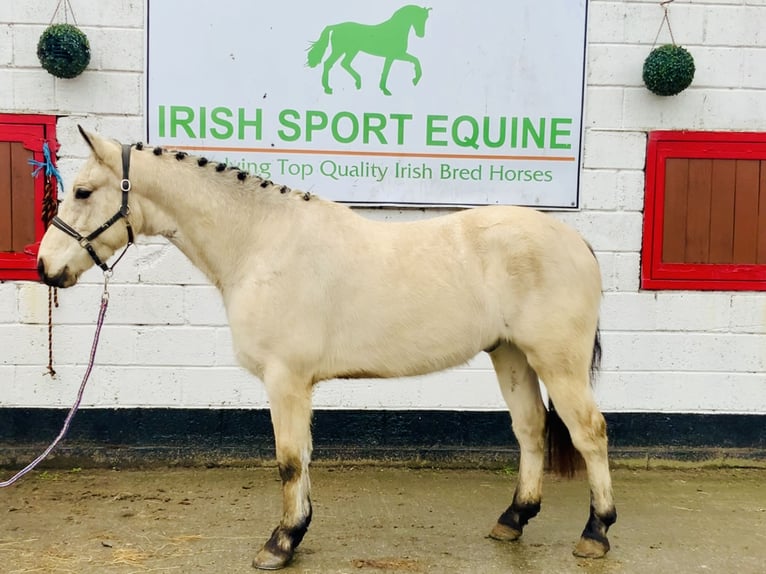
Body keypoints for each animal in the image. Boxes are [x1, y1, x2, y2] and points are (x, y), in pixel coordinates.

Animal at [39, 128, 620, 572]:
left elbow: (289, 460)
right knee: (531, 430)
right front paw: (295, 533)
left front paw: (280, 543)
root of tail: (576, 240)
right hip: (511, 355)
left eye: (84, 191)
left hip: (557, 361)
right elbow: (303, 458)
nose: (45, 267)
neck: (260, 242)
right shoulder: (296, 384)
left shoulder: (285, 379)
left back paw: (596, 533)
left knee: (589, 433)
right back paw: (513, 520)